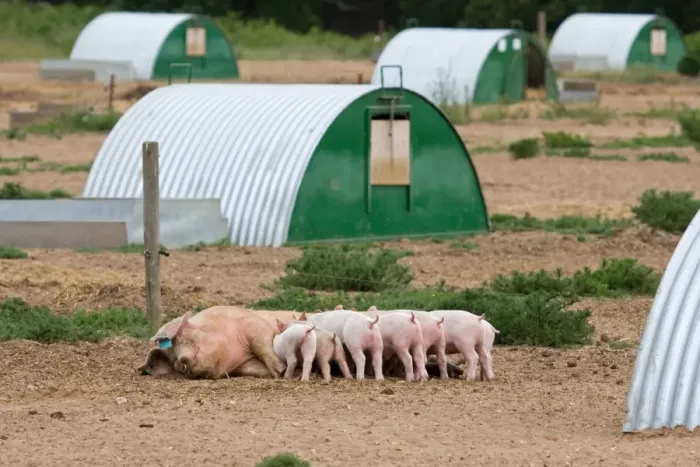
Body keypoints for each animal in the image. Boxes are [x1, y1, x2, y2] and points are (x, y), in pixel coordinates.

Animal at [137, 306, 287, 379]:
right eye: (173, 360)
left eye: (186, 338)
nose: (181, 363)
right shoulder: (245, 366)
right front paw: (279, 373)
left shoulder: (254, 324)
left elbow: (261, 344)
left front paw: (280, 371)